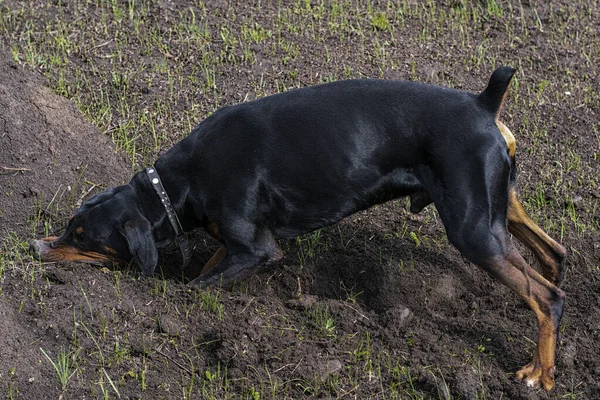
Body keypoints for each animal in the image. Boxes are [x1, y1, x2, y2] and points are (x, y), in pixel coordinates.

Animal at [31, 68, 568, 390]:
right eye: (70, 224)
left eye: (82, 237)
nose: (37, 246)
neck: (175, 185)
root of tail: (483, 105)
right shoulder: (239, 243)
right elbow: (209, 266)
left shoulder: (259, 251)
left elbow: (196, 287)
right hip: (500, 209)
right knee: (555, 255)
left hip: (472, 229)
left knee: (547, 297)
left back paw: (538, 374)